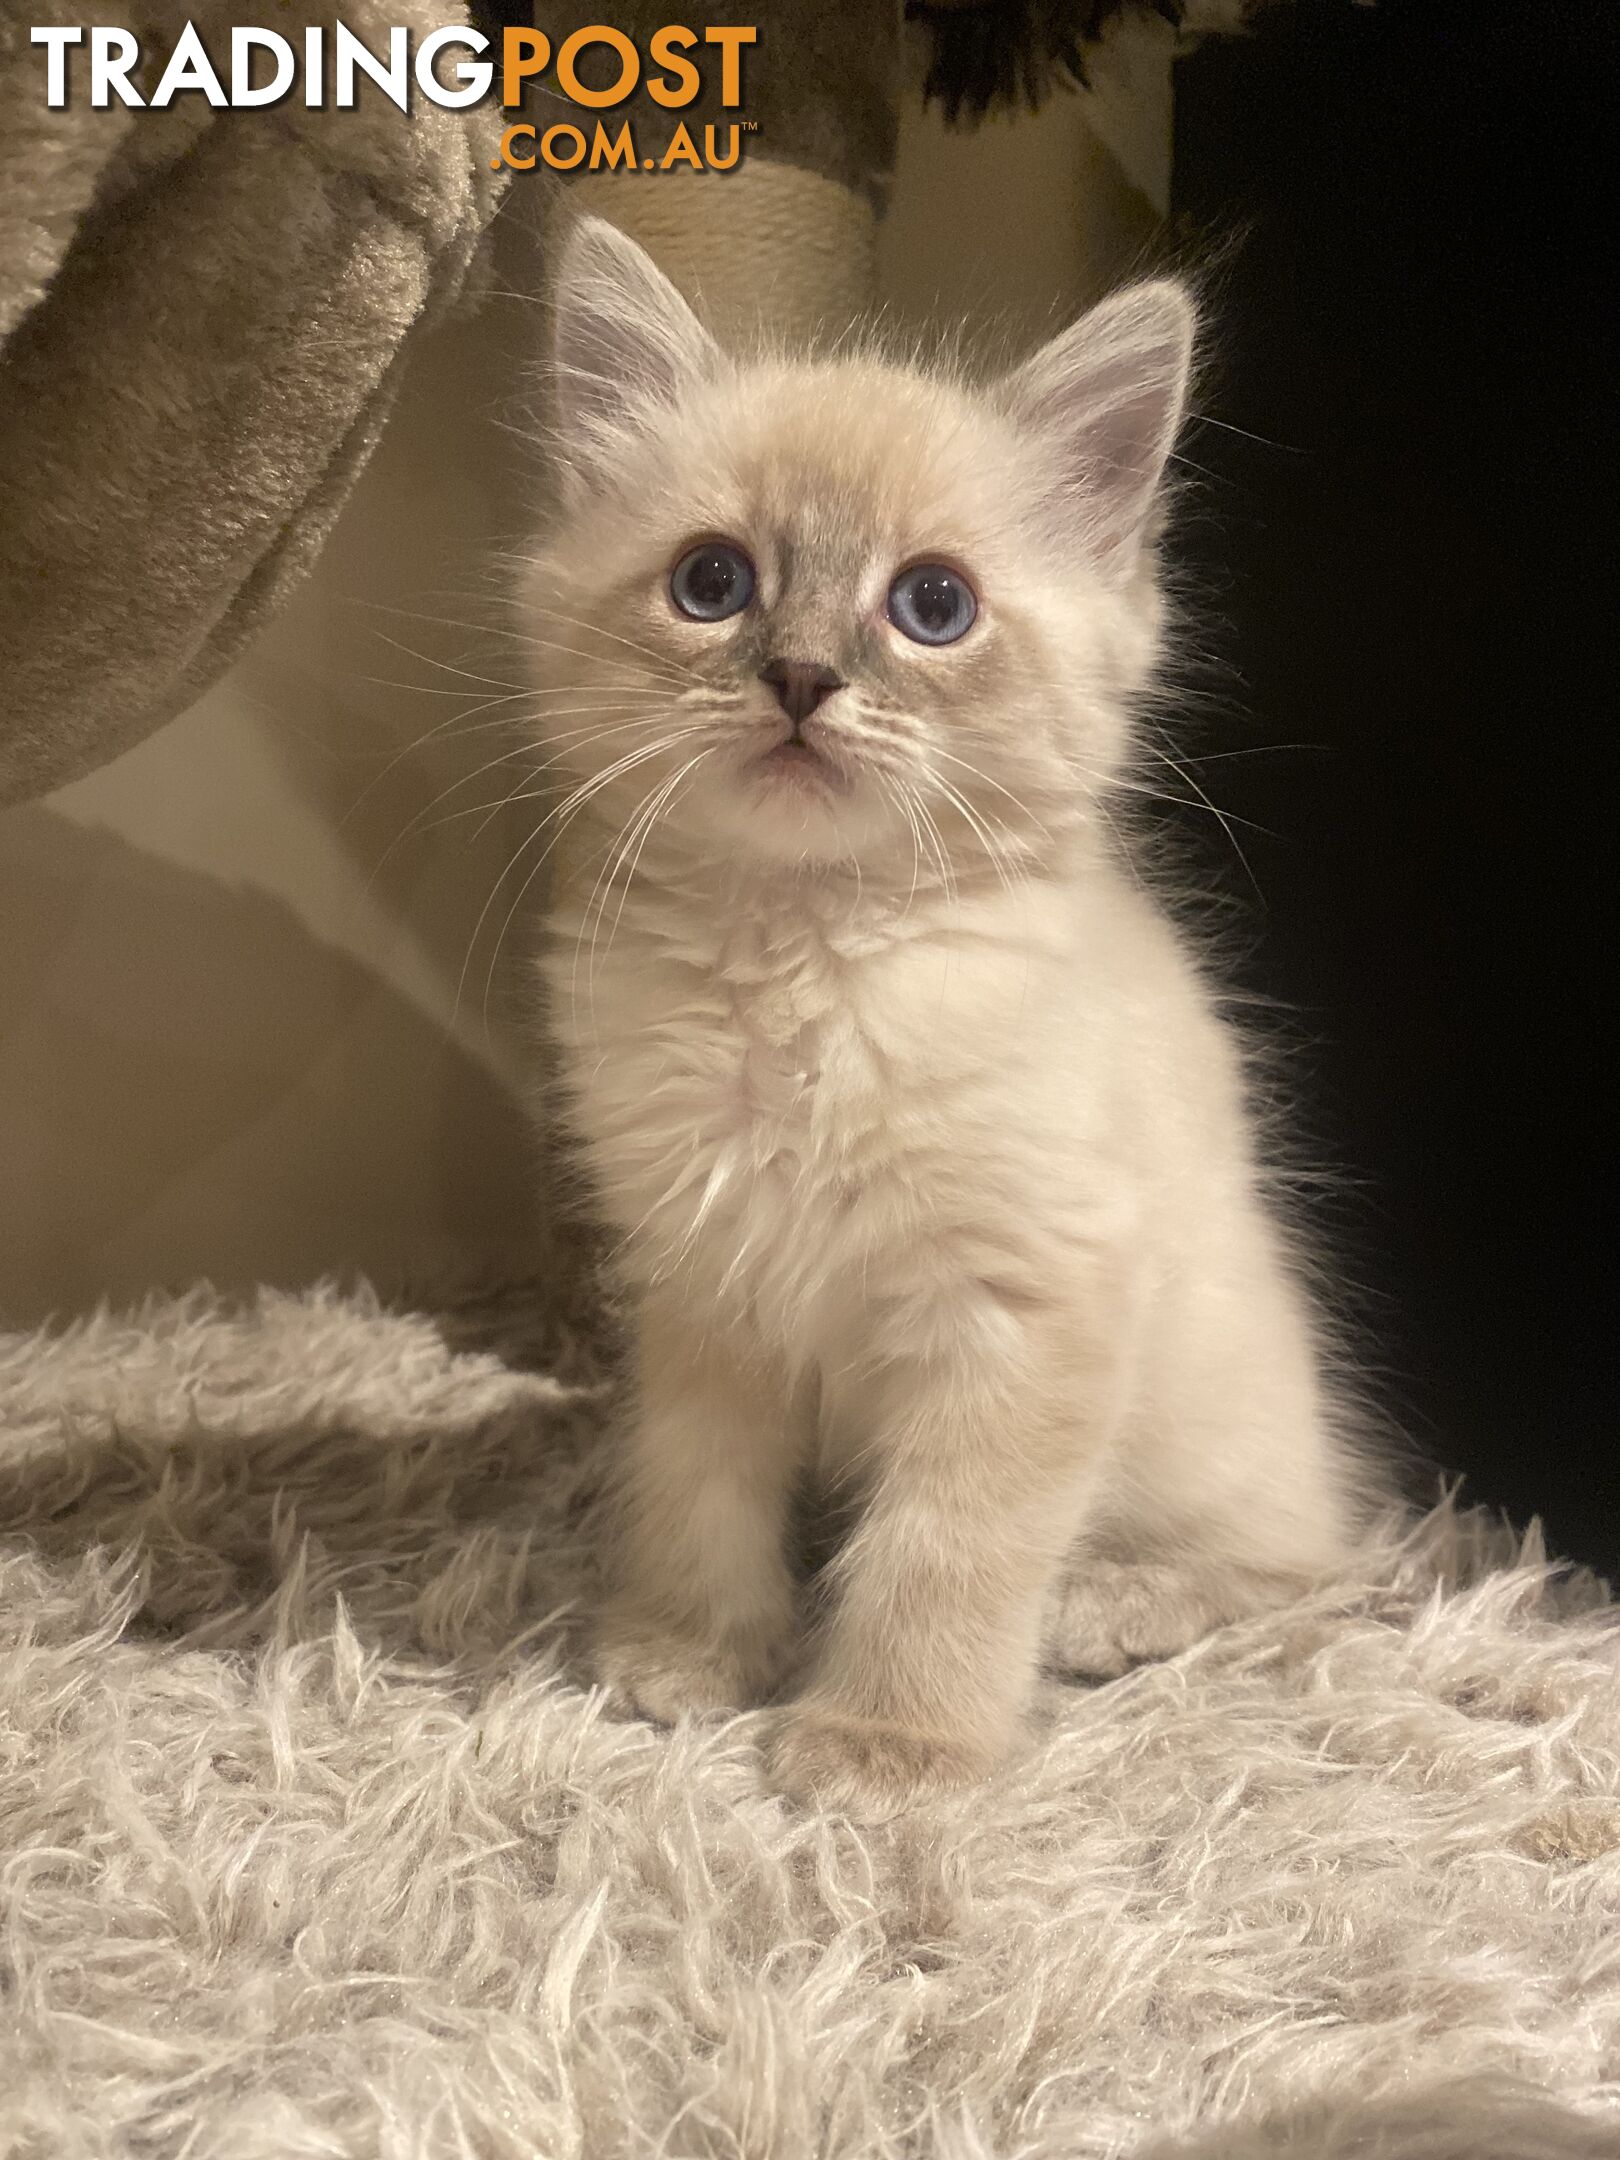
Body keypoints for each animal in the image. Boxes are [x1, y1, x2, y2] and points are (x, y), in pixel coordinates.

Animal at [516, 219, 1373, 1814]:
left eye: (932, 608)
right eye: (712, 582)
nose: (800, 679)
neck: (806, 965)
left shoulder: (1026, 1303)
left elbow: (943, 1553)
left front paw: (887, 1746)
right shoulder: (703, 1281)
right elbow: (698, 1487)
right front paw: (692, 1653)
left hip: (1216, 1409)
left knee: (1311, 1561)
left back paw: (1118, 1606)